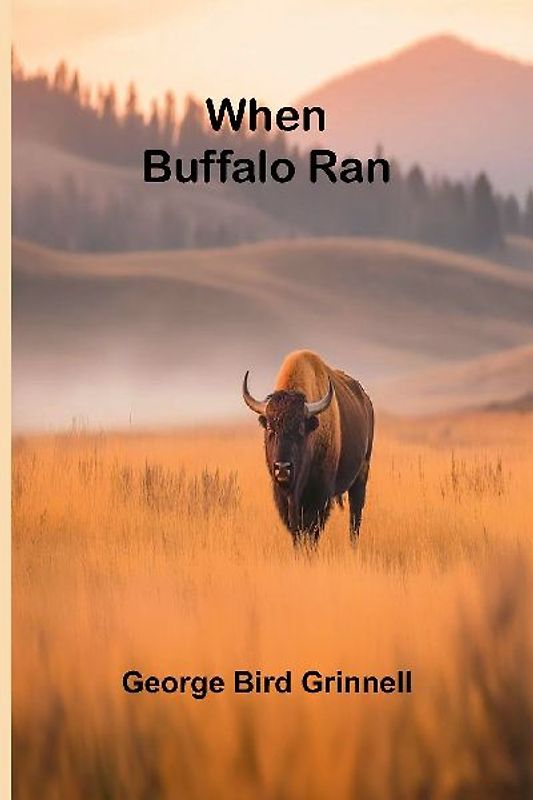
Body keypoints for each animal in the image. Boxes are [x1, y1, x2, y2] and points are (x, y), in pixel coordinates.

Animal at [242, 350, 374, 544]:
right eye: (270, 428)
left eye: (300, 429)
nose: (283, 468)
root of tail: (366, 401)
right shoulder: (285, 498)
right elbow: (296, 530)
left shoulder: (320, 495)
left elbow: (312, 530)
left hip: (361, 474)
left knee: (355, 516)